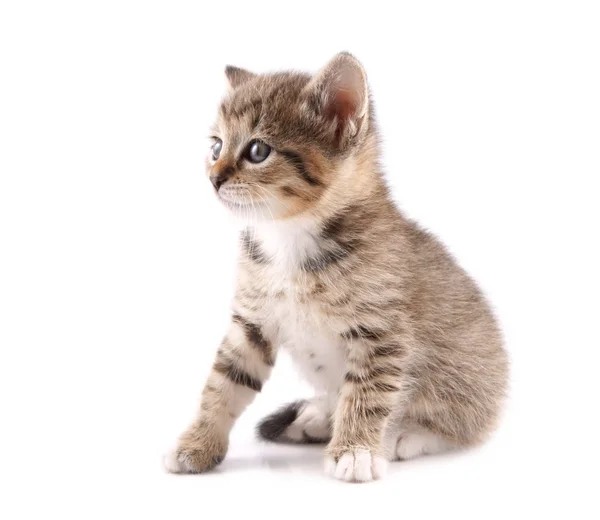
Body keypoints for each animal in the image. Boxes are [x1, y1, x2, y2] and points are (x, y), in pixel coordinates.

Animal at [163, 52, 506, 484]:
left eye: (257, 151)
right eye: (216, 146)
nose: (213, 178)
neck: (290, 237)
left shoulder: (381, 332)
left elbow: (367, 393)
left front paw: (355, 451)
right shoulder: (251, 324)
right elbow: (222, 383)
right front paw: (198, 443)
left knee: (464, 424)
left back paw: (405, 434)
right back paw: (319, 416)